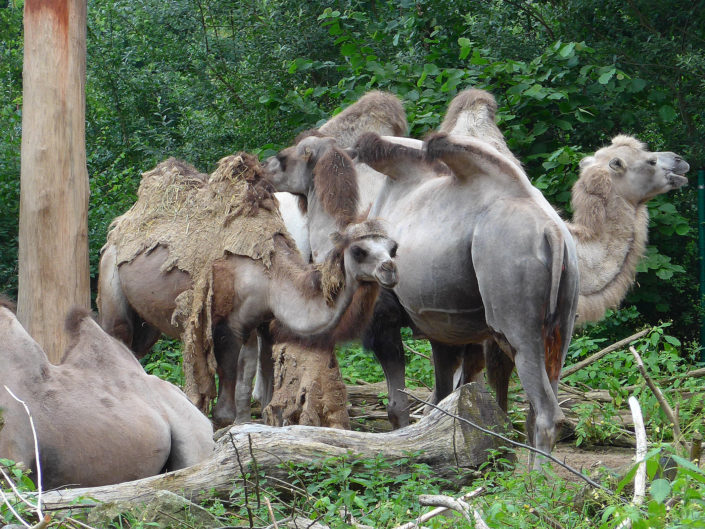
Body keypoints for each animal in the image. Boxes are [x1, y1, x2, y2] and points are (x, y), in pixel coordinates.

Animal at [97, 154, 402, 424]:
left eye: (393, 248)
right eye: (359, 251)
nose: (390, 270)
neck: (271, 277)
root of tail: (116, 230)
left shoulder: (263, 324)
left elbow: (263, 397)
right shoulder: (225, 328)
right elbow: (223, 412)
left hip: (148, 324)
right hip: (111, 283)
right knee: (115, 337)